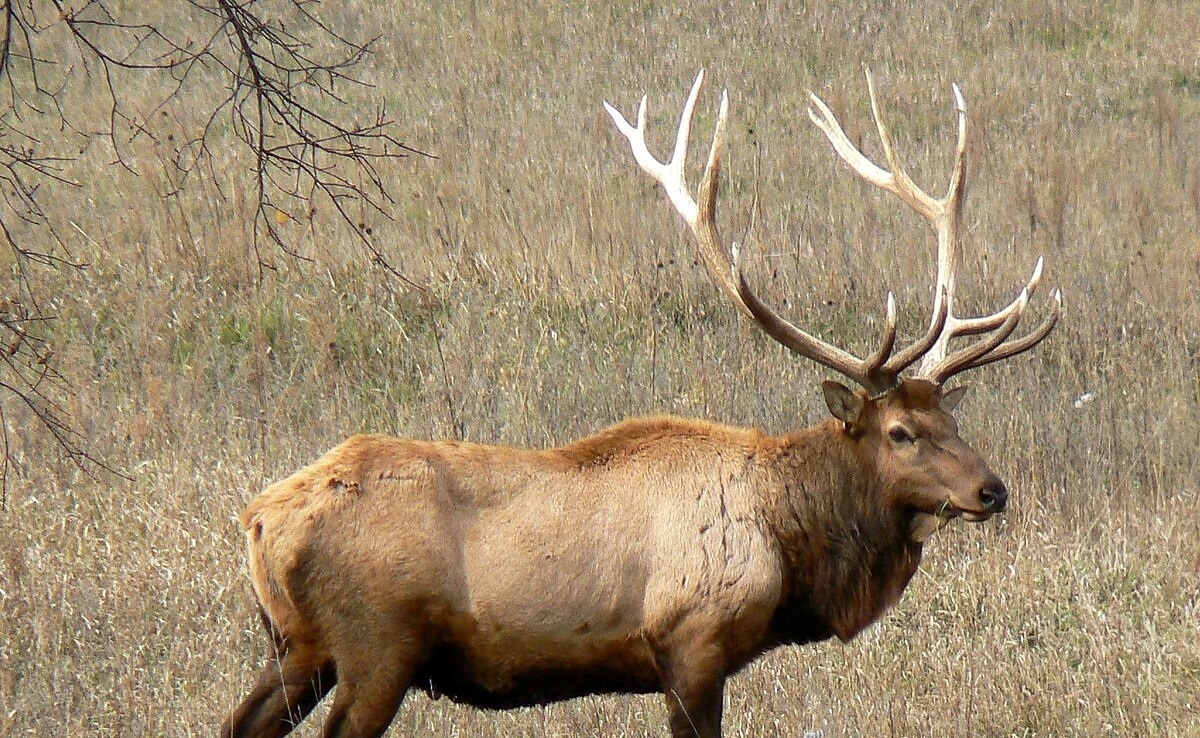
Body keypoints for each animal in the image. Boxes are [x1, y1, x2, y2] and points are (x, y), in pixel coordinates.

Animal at [218, 70, 1060, 738]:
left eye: (952, 419)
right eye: (900, 432)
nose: (992, 490)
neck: (791, 541)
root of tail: (259, 518)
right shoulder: (691, 643)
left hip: (299, 646)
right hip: (375, 643)